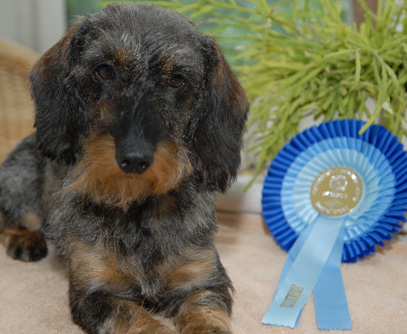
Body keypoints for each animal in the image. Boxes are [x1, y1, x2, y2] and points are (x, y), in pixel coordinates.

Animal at [0, 3, 249, 334]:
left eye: (177, 79)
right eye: (105, 70)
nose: (134, 158)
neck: (138, 210)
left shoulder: (202, 281)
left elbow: (206, 314)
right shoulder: (97, 291)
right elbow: (135, 318)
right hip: (21, 182)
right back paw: (25, 239)